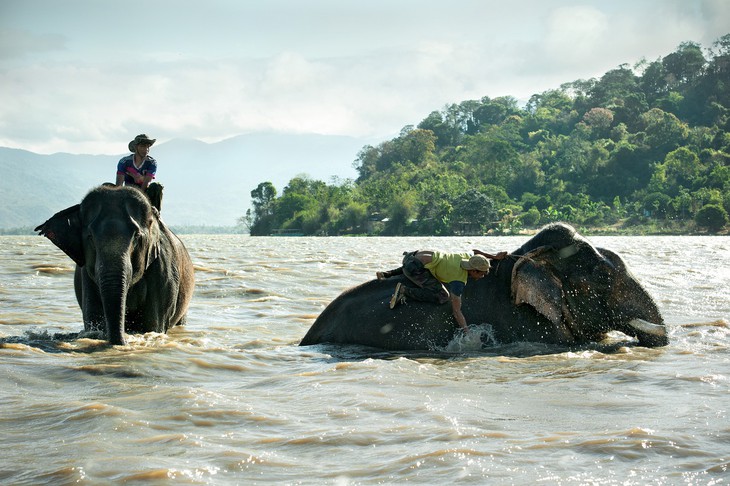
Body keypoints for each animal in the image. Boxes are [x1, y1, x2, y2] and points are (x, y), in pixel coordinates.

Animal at [35, 184, 195, 344]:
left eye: (137, 237)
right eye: (90, 237)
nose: (122, 341)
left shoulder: (163, 274)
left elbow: (153, 325)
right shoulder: (87, 276)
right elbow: (94, 315)